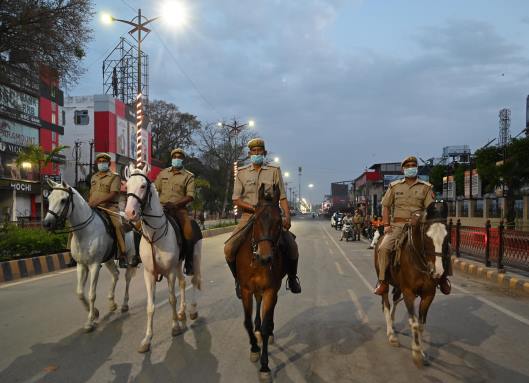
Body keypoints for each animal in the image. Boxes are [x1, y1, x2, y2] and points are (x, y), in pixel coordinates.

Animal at [43, 180, 137, 332]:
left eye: (63, 200)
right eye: (49, 198)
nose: (47, 223)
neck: (85, 232)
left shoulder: (94, 266)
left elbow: (92, 294)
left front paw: (90, 322)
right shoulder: (81, 265)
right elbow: (80, 293)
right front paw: (95, 313)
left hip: (129, 256)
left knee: (127, 278)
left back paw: (124, 304)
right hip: (109, 259)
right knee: (115, 274)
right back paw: (112, 303)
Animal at [124, 166, 202, 352]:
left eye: (143, 186)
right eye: (127, 186)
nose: (129, 213)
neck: (155, 236)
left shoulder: (170, 272)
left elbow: (171, 299)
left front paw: (175, 327)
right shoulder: (149, 274)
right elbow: (150, 306)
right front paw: (147, 339)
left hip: (194, 258)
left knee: (194, 281)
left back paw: (192, 310)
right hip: (179, 264)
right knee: (183, 283)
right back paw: (182, 312)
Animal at [374, 202, 448, 368]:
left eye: (446, 237)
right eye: (427, 236)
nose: (438, 271)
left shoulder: (429, 294)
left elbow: (420, 324)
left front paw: (422, 352)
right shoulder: (408, 292)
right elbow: (413, 323)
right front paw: (416, 353)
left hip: (398, 285)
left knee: (395, 299)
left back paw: (393, 323)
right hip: (384, 278)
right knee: (386, 303)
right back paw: (391, 335)